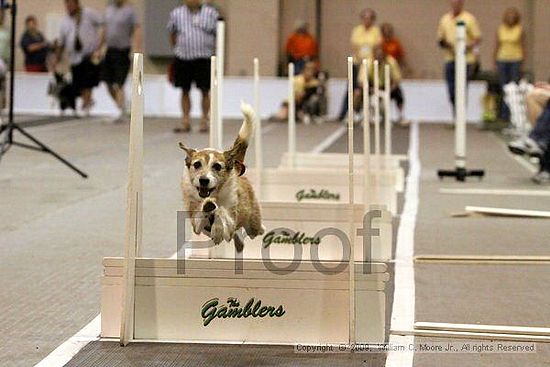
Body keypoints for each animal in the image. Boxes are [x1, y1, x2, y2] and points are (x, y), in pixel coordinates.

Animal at [181, 103, 266, 253]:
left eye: (217, 166)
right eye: (197, 164)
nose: (204, 180)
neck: (214, 195)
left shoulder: (231, 219)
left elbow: (221, 212)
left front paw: (217, 229)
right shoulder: (196, 224)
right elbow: (200, 217)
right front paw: (208, 208)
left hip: (253, 224)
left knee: (256, 230)